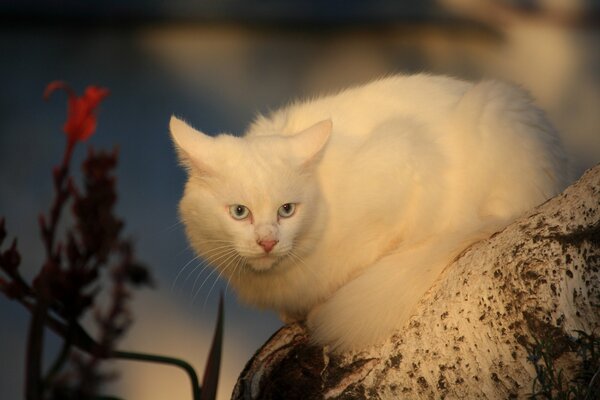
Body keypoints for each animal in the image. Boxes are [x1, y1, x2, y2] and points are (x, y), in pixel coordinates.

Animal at [169, 74, 568, 350]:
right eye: (240, 212)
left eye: (287, 210)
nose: (267, 242)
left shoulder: (406, 165)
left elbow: (367, 258)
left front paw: (321, 305)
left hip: (493, 108)